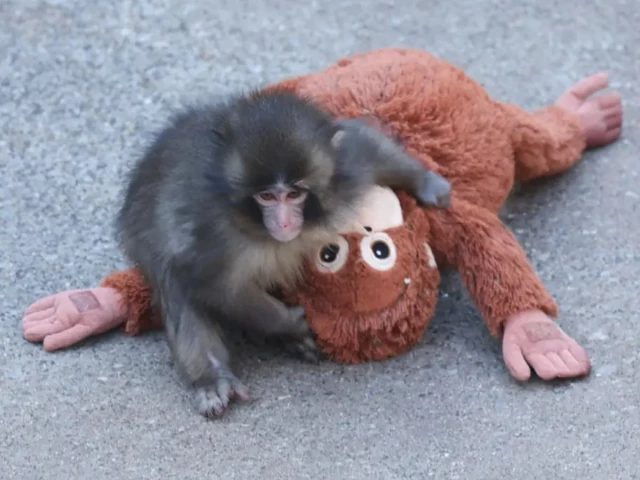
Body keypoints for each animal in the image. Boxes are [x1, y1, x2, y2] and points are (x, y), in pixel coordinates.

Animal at [115, 89, 451, 418]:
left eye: (294, 193)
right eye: (266, 196)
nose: (285, 222)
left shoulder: (344, 171)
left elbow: (363, 142)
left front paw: (427, 183)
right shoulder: (211, 234)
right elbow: (215, 285)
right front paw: (290, 323)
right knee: (173, 281)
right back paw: (213, 376)